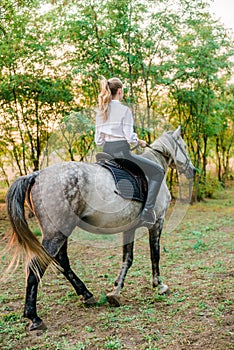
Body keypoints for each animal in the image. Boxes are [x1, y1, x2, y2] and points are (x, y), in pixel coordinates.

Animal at [4, 126, 196, 330]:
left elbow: (127, 259)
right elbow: (155, 254)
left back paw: (86, 294)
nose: (193, 170)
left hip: (60, 231)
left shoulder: (130, 228)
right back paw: (34, 317)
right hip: (56, 232)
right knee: (37, 266)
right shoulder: (158, 222)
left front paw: (115, 291)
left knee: (62, 261)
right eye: (184, 146)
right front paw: (159, 285)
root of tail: (36, 175)